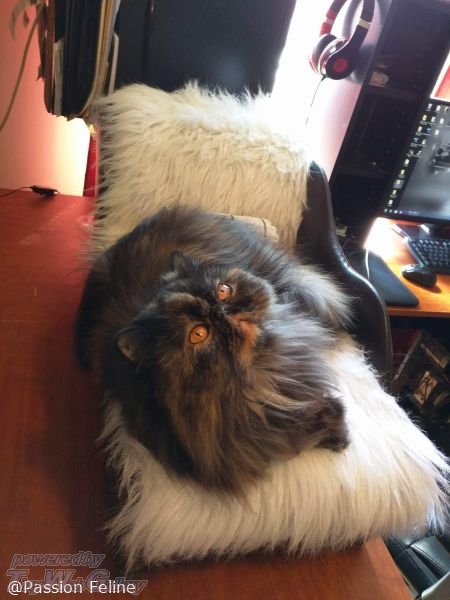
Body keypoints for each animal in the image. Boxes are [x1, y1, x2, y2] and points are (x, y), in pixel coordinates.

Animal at [74, 205, 352, 495]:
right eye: (198, 334)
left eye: (223, 291)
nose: (221, 312)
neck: (261, 376)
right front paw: (336, 433)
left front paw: (338, 434)